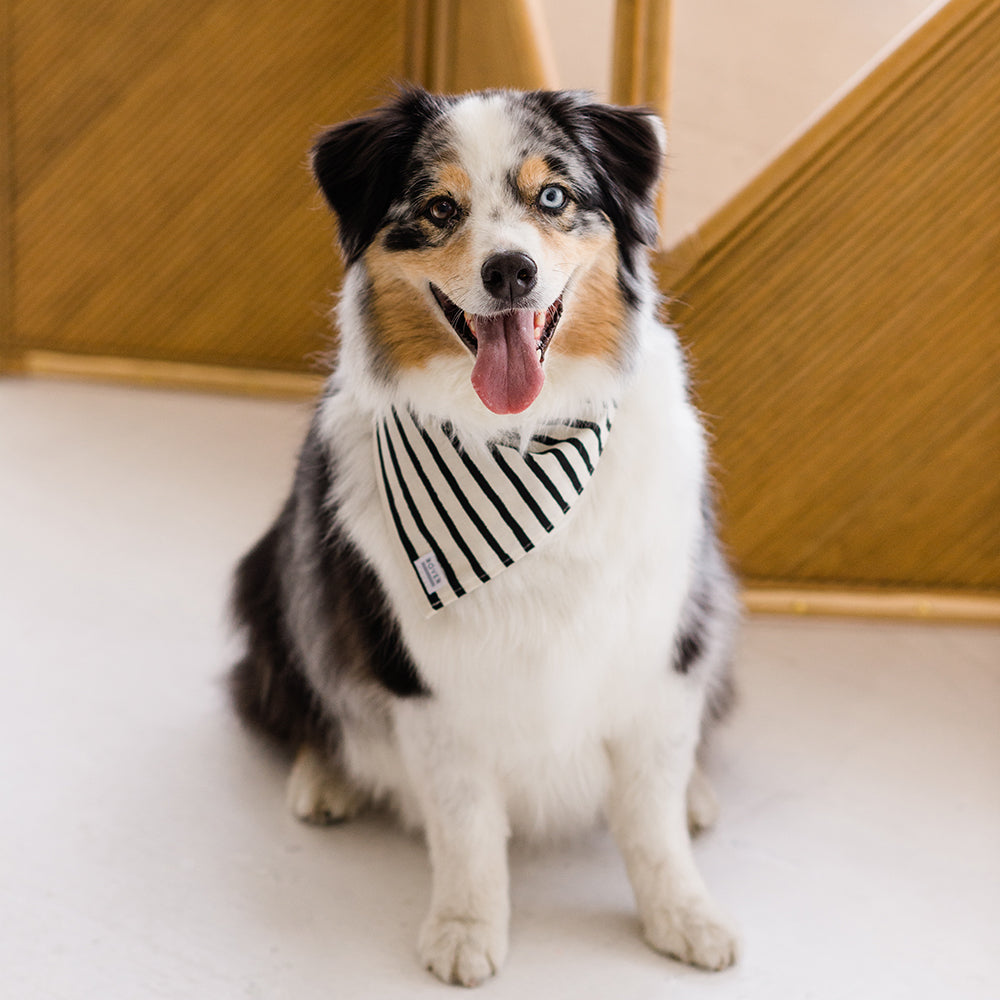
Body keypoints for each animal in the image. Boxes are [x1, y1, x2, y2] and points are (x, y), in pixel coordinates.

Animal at [230, 88, 740, 984]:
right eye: (440, 209)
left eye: (554, 197)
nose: (512, 272)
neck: (522, 441)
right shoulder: (427, 682)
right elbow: (466, 825)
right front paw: (466, 927)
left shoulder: (661, 643)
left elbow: (650, 817)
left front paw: (683, 913)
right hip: (280, 580)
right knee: (298, 693)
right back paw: (327, 777)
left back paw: (699, 796)